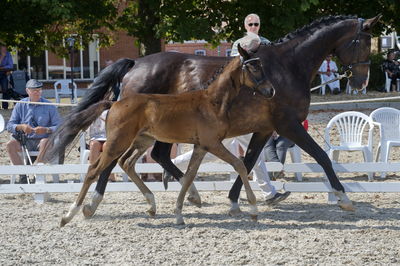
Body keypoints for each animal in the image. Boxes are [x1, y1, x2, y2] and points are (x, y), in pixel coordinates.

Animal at [43, 14, 382, 218]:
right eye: (362, 42)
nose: (360, 81)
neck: (287, 67)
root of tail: (135, 64)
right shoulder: (288, 125)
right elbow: (321, 156)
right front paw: (343, 197)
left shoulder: (263, 129)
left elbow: (248, 162)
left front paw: (239, 200)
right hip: (133, 132)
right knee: (113, 161)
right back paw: (93, 204)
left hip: (156, 132)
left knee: (156, 156)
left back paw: (188, 193)